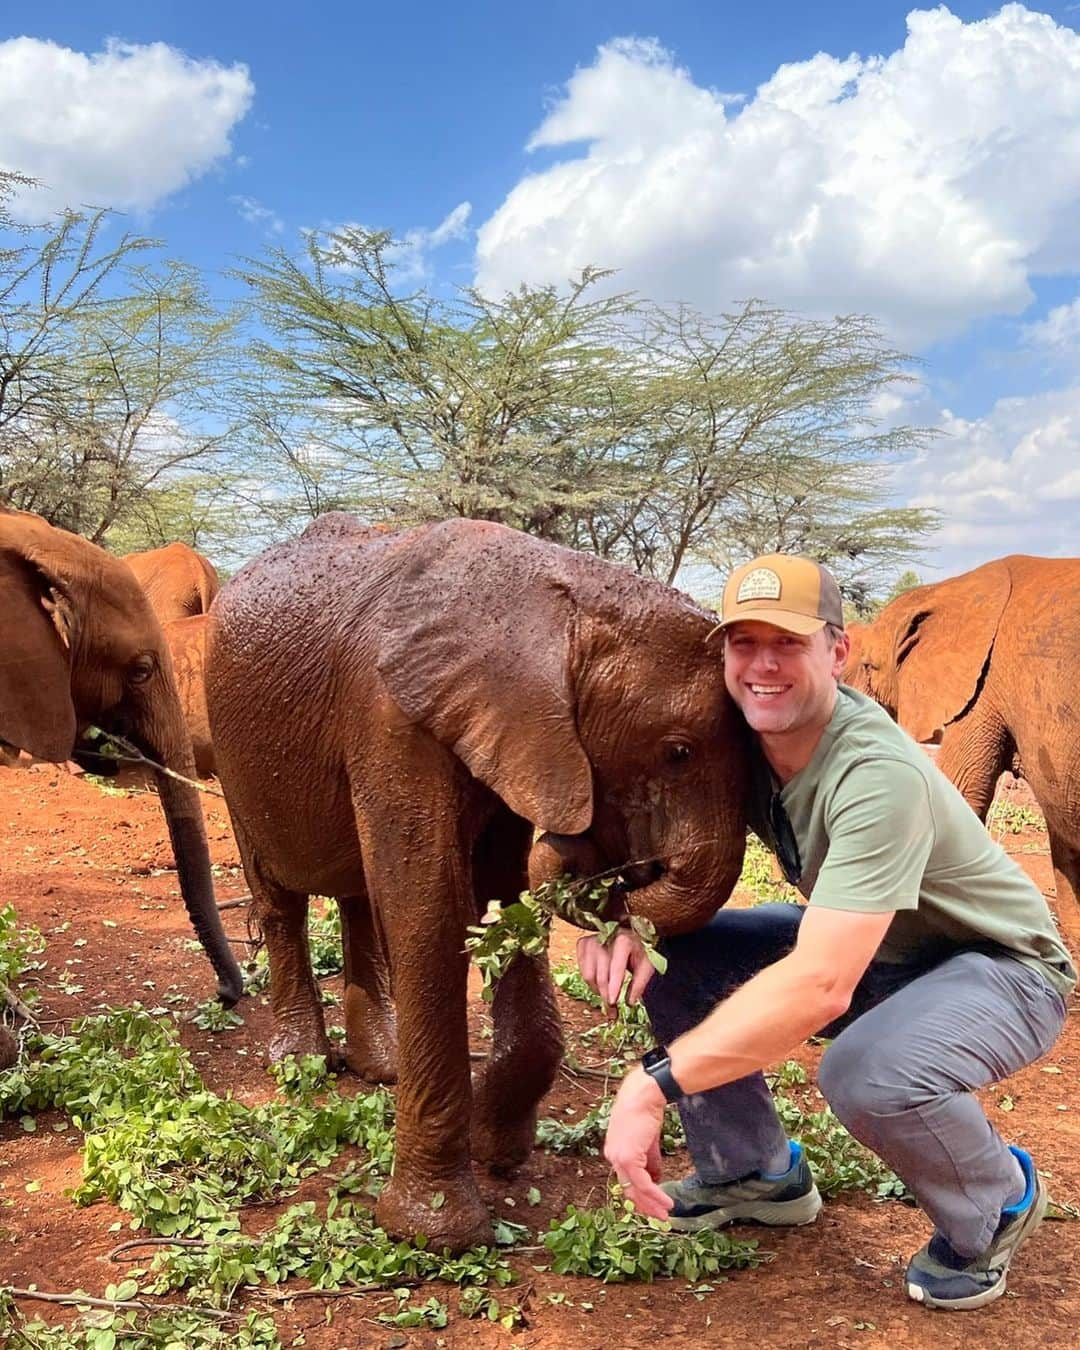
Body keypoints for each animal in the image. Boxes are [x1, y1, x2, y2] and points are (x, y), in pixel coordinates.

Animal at [206, 510, 745, 1247]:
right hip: (229, 750)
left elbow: (504, 897)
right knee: (278, 892)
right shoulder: (391, 716)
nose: (595, 858)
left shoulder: (520, 736)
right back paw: (303, 1066)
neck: (564, 595)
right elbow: (431, 910)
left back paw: (382, 1067)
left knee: (357, 893)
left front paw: (500, 1150)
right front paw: (435, 1232)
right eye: (678, 752)